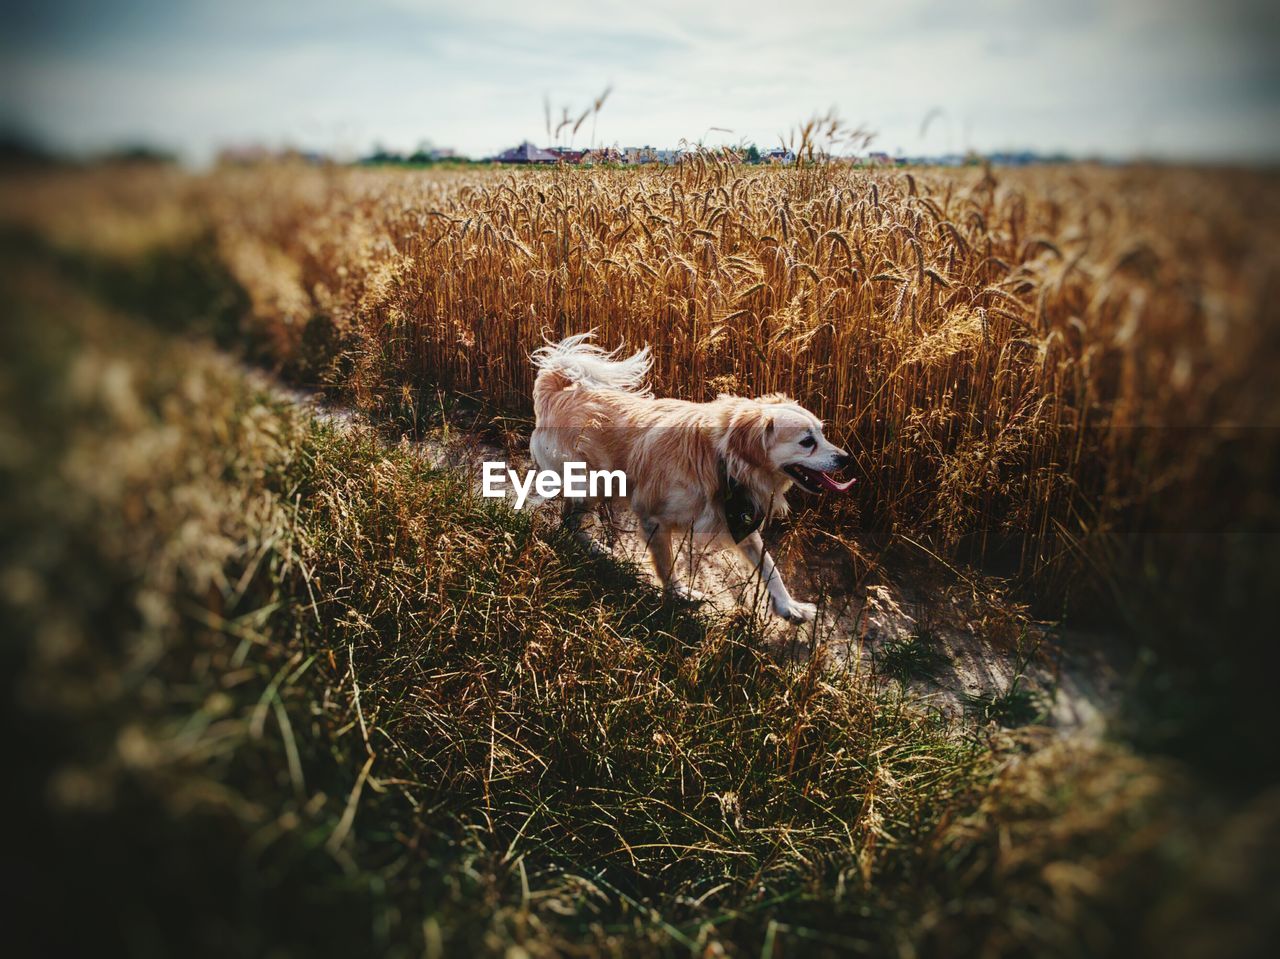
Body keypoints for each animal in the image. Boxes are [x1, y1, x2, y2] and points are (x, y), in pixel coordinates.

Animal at [524, 335, 855, 622]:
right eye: (807, 442)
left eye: (822, 433)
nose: (846, 458)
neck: (722, 459)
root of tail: (560, 388)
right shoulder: (654, 518)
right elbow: (666, 564)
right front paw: (679, 593)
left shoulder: (740, 517)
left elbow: (769, 565)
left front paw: (789, 606)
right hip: (591, 483)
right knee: (568, 520)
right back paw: (594, 548)